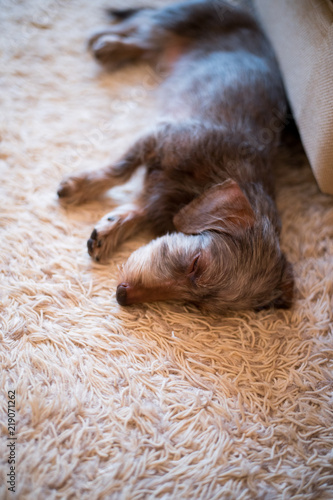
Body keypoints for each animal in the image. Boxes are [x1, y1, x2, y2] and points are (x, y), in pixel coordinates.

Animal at [57, 0, 294, 312]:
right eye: (196, 264)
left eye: (196, 305)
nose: (122, 295)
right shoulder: (159, 137)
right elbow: (119, 170)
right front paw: (78, 187)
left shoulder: (159, 195)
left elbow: (137, 210)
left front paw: (109, 231)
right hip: (171, 21)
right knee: (140, 23)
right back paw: (106, 43)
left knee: (141, 38)